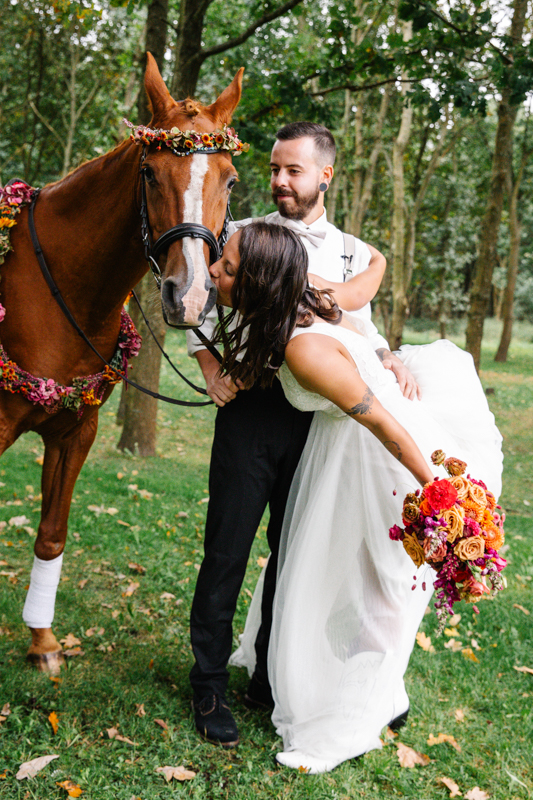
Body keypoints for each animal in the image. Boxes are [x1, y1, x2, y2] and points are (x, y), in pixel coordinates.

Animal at [0, 53, 243, 672]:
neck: (61, 288)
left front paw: (42, 641)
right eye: (151, 173)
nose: (190, 295)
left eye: (230, 179)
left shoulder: (74, 430)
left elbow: (52, 533)